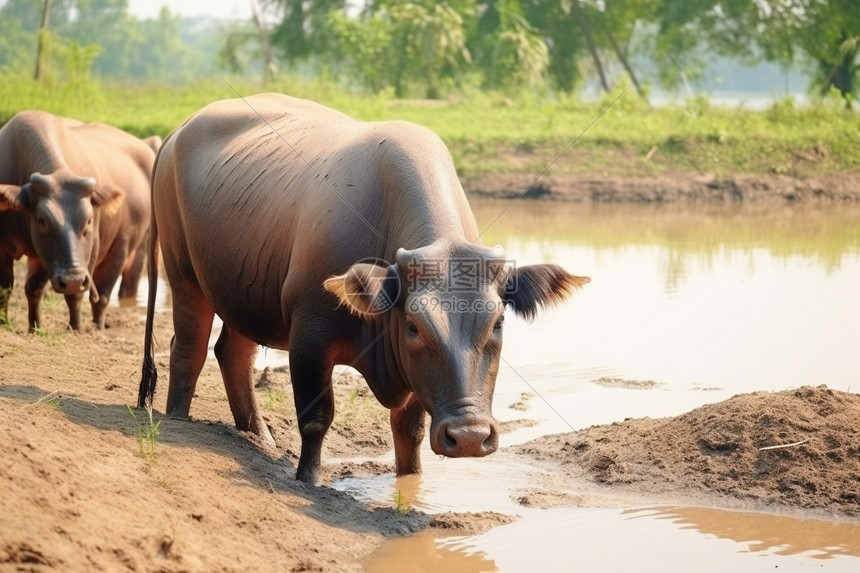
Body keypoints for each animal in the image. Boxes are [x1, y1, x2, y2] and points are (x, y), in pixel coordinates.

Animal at [0, 110, 153, 330]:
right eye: (42, 220)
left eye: (89, 220)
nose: (72, 279)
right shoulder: (7, 249)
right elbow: (7, 289)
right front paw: (20, 325)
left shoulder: (54, 259)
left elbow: (50, 290)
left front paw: (75, 328)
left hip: (130, 249)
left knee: (106, 294)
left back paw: (97, 327)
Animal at [138, 94, 592, 482]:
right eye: (414, 326)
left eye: (497, 324)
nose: (467, 437)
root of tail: (177, 133)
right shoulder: (309, 339)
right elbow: (316, 418)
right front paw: (308, 479)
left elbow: (408, 431)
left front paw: (411, 482)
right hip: (183, 273)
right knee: (189, 347)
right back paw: (178, 417)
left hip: (246, 291)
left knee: (232, 352)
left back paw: (260, 437)